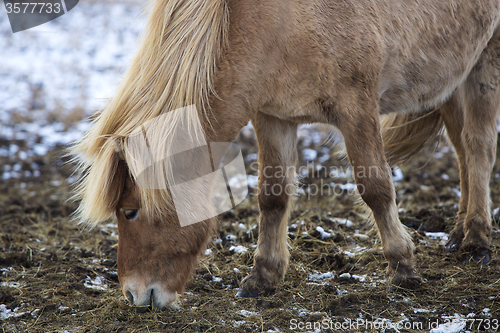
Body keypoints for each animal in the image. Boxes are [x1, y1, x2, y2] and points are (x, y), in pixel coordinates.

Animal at [72, 0, 500, 310]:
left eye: (130, 211)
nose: (134, 295)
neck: (276, 22)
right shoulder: (273, 117)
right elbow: (272, 196)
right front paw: (263, 277)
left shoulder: (358, 110)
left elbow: (376, 188)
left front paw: (403, 268)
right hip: (453, 73)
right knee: (461, 148)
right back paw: (459, 231)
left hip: (485, 60)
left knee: (477, 145)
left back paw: (477, 239)